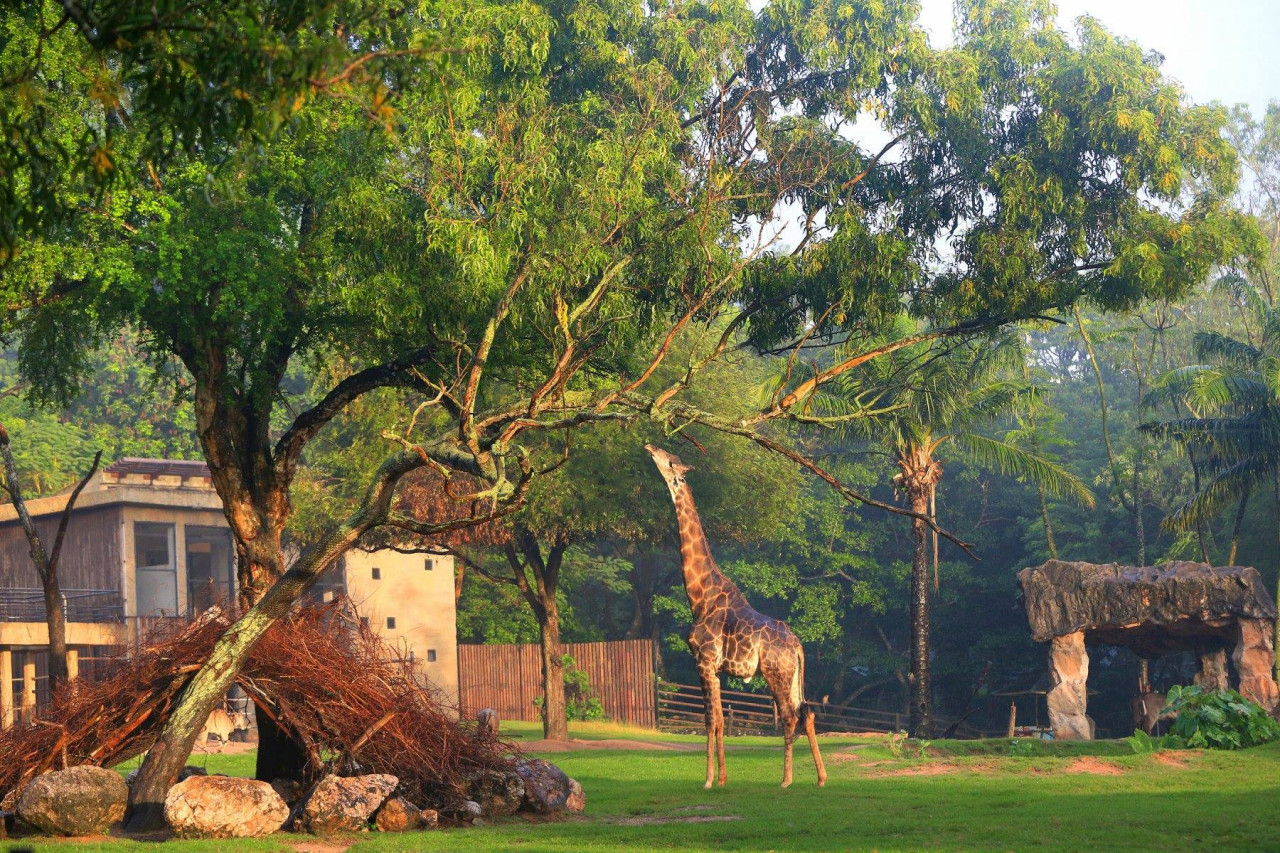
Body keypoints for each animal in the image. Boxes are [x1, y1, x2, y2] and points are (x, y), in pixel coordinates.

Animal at [645, 440, 824, 788]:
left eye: (670, 460)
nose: (648, 446)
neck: (700, 596)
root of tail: (797, 645)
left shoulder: (702, 660)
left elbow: (709, 719)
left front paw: (707, 780)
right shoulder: (715, 669)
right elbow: (718, 721)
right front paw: (722, 779)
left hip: (776, 673)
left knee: (789, 716)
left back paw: (786, 780)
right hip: (793, 674)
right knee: (806, 711)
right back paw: (822, 778)